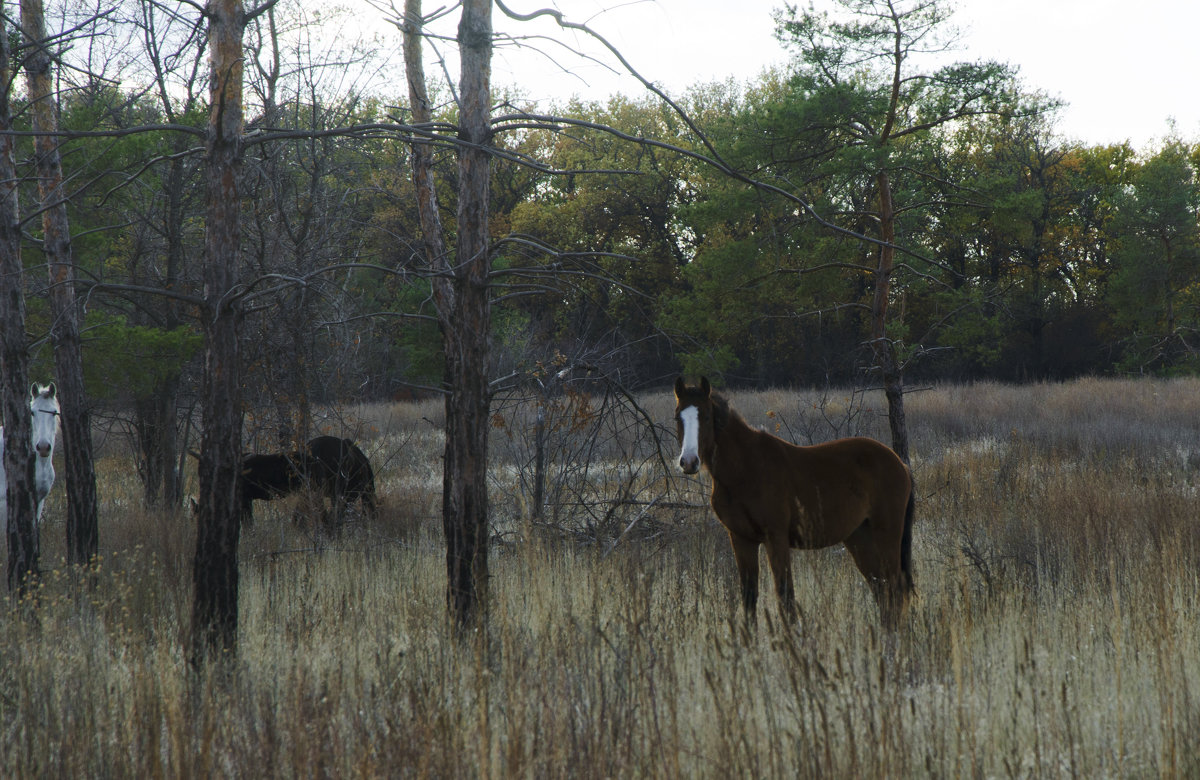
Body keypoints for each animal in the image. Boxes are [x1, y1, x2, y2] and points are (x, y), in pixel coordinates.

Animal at [672, 374, 912, 624]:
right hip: (859, 536)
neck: (745, 470)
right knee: (882, 590)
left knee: (895, 589)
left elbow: (785, 597)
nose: (689, 462)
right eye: (678, 416)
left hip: (887, 534)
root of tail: (900, 464)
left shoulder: (775, 538)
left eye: (706, 416)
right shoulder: (741, 539)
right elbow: (749, 597)